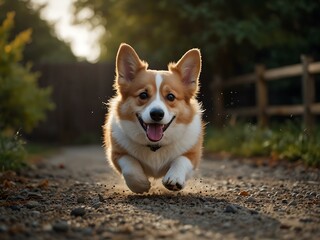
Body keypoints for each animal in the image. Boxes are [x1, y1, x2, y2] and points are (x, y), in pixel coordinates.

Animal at [104, 43, 204, 193]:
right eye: (143, 95)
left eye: (171, 97)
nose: (157, 114)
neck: (155, 146)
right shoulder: (116, 154)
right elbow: (130, 165)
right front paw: (140, 184)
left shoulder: (193, 154)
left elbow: (181, 160)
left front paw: (174, 178)